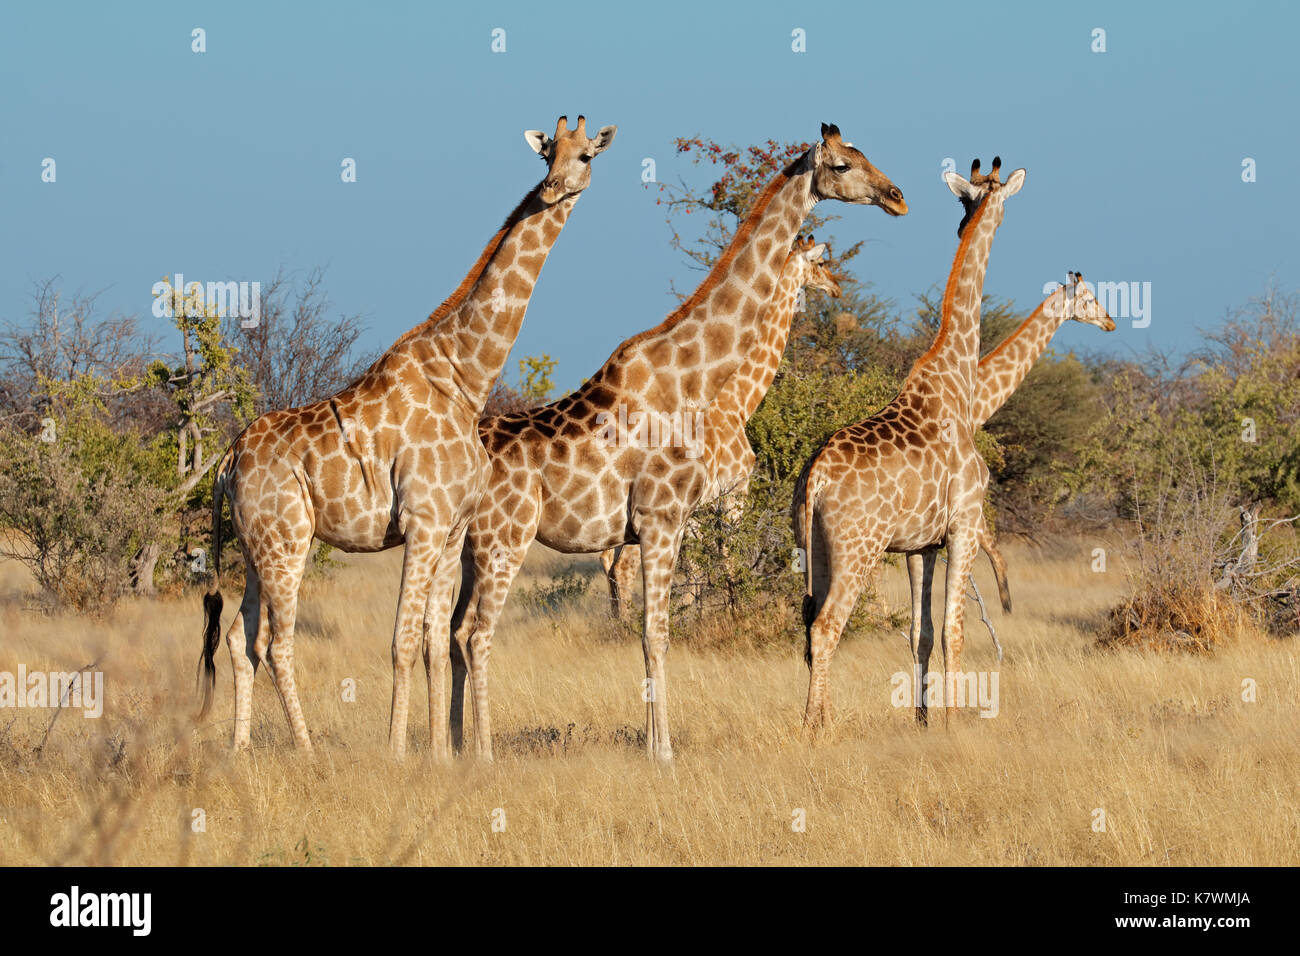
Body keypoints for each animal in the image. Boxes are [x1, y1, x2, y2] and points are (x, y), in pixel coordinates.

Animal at [195, 113, 616, 754]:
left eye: (585, 155)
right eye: (547, 154)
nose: (552, 189)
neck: (467, 377)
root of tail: (225, 461)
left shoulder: (452, 529)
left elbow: (436, 643)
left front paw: (441, 755)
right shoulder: (422, 522)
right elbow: (402, 640)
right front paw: (397, 753)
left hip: (250, 546)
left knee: (240, 641)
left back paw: (240, 753)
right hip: (286, 540)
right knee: (274, 642)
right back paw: (307, 752)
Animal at [598, 235, 842, 616]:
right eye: (819, 263)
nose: (836, 287)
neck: (738, 401)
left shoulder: (702, 506)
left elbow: (700, 563)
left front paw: (695, 614)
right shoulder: (735, 490)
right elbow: (728, 555)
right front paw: (733, 611)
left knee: (608, 562)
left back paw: (618, 620)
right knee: (622, 566)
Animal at [790, 155, 1024, 733]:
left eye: (966, 199)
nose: (967, 223)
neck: (958, 378)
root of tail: (816, 477)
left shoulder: (921, 544)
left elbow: (922, 633)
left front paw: (923, 722)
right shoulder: (964, 524)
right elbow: (955, 629)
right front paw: (954, 722)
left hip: (814, 546)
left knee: (808, 622)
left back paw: (819, 722)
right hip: (858, 548)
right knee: (827, 625)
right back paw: (815, 730)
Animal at [909, 273, 1112, 665]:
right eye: (1090, 298)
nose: (1110, 322)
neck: (981, 400)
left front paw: (1004, 604)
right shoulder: (967, 497)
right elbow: (991, 548)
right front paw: (1005, 603)